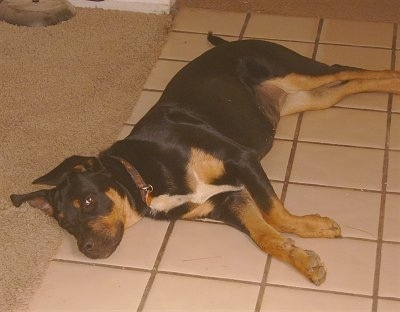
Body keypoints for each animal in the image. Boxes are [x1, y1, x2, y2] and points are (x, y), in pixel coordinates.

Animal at [10, 33, 400, 286]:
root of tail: (232, 42)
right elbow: (266, 236)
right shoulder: (226, 203)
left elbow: (275, 213)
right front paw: (303, 261)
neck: (145, 177)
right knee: (349, 86)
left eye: (90, 201)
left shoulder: (240, 159)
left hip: (294, 71)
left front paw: (313, 227)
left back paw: (395, 78)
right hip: (307, 98)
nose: (86, 249)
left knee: (346, 69)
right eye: (66, 223)